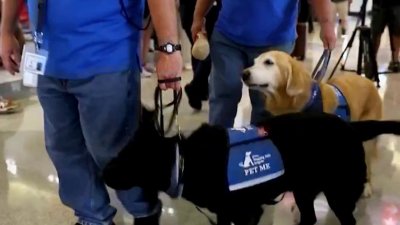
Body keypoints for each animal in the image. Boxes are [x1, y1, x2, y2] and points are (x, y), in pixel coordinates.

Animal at [102, 108, 400, 224]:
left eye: (128, 159)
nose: (103, 174)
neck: (186, 161)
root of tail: (351, 127)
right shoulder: (225, 213)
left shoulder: (248, 213)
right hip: (304, 191)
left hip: (339, 194)